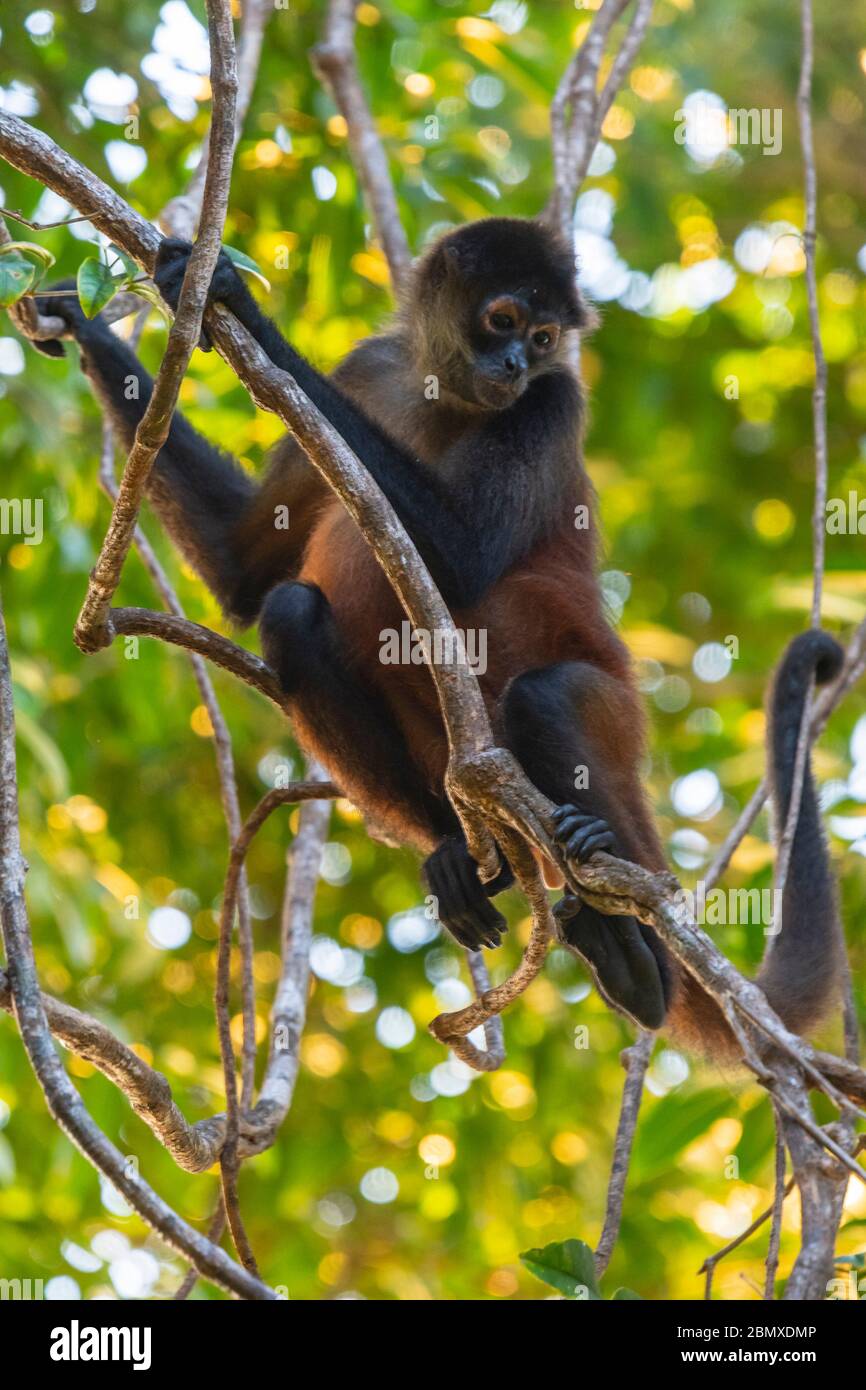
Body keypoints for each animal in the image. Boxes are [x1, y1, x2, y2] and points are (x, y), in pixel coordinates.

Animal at [33, 216, 845, 1056]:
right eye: (504, 320)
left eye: (545, 337)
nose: (518, 363)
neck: (441, 389)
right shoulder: (368, 368)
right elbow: (242, 575)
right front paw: (89, 320)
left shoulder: (553, 399)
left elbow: (458, 556)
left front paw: (241, 306)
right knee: (293, 613)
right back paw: (460, 855)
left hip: (614, 717)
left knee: (547, 696)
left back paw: (638, 970)